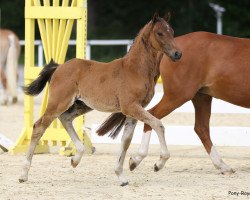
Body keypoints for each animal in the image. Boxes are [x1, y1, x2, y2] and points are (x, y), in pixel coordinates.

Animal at [18, 13, 182, 186]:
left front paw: (122, 174)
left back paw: (76, 158)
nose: (178, 54)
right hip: (58, 103)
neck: (136, 69)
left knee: (66, 119)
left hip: (82, 105)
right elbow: (158, 124)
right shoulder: (130, 107)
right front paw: (159, 163)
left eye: (172, 31)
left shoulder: (134, 111)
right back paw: (23, 174)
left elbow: (126, 140)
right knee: (39, 127)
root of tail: (59, 67)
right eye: (160, 33)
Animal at [97, 30, 250, 175]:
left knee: (201, 128)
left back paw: (223, 166)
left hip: (201, 97)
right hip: (179, 95)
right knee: (153, 116)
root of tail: (171, 48)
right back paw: (143, 160)